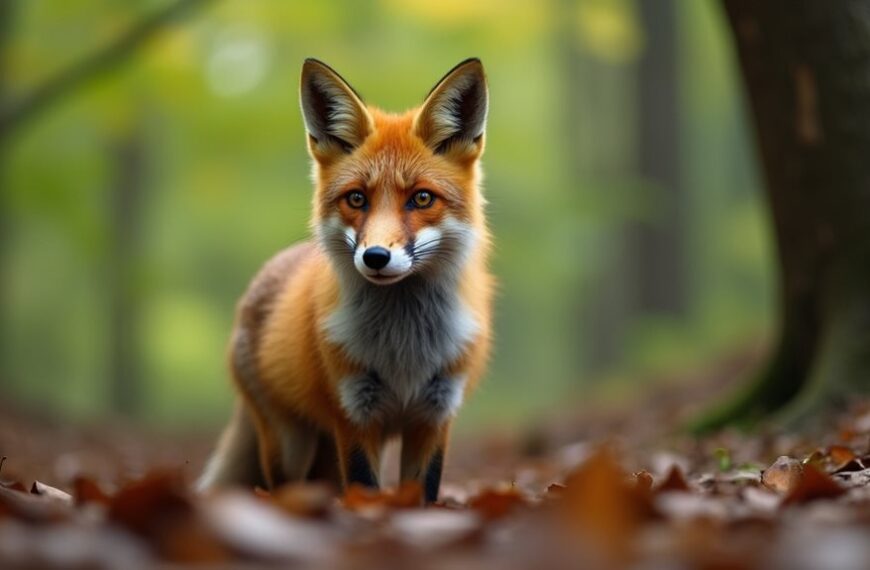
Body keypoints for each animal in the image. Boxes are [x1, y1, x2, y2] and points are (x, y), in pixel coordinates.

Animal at [197, 58, 493, 503]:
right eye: (357, 198)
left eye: (422, 198)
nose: (375, 257)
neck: (403, 348)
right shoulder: (353, 413)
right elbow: (365, 489)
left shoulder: (434, 415)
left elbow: (421, 495)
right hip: (290, 443)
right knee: (283, 485)